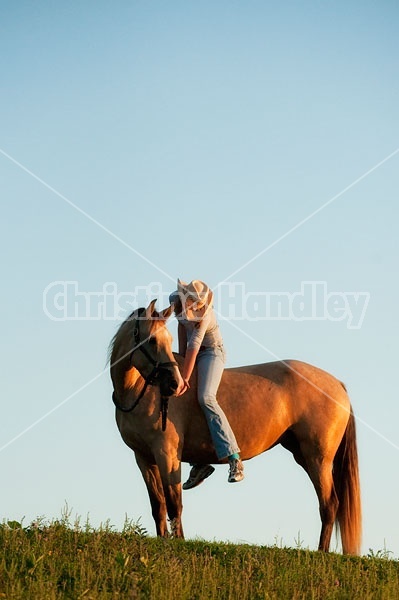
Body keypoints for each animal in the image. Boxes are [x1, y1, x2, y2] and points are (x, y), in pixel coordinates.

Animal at [108, 298, 362, 552]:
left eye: (167, 341)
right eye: (151, 340)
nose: (174, 384)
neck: (138, 391)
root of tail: (337, 384)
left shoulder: (167, 454)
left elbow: (174, 504)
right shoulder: (144, 458)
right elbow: (158, 506)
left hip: (318, 459)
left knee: (329, 504)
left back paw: (322, 551)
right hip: (303, 455)